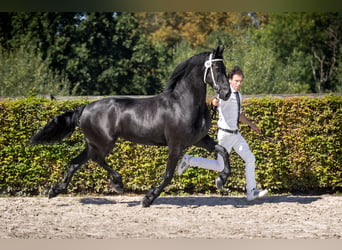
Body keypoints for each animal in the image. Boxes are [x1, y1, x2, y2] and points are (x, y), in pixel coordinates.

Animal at [29, 45, 232, 207]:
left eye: (224, 68)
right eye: (216, 68)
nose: (226, 93)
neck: (182, 103)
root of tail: (84, 108)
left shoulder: (199, 139)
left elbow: (223, 151)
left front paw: (221, 180)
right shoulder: (176, 145)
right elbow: (168, 175)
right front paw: (148, 198)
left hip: (93, 142)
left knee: (74, 162)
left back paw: (55, 190)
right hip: (104, 142)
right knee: (96, 158)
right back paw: (118, 184)